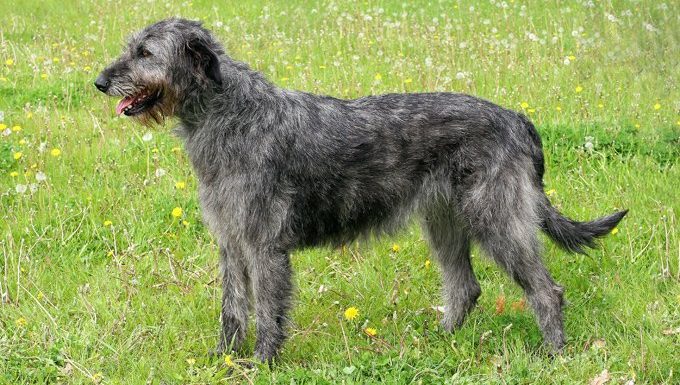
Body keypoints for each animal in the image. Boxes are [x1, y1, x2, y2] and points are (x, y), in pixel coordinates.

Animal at [94, 18, 628, 360]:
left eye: (146, 53)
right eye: (132, 47)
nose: (99, 81)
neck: (228, 113)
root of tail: (516, 119)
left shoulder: (264, 245)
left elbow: (266, 310)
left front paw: (260, 363)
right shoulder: (231, 241)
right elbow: (233, 308)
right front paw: (222, 359)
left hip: (497, 220)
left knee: (545, 290)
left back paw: (552, 355)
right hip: (444, 222)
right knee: (465, 287)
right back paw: (439, 341)